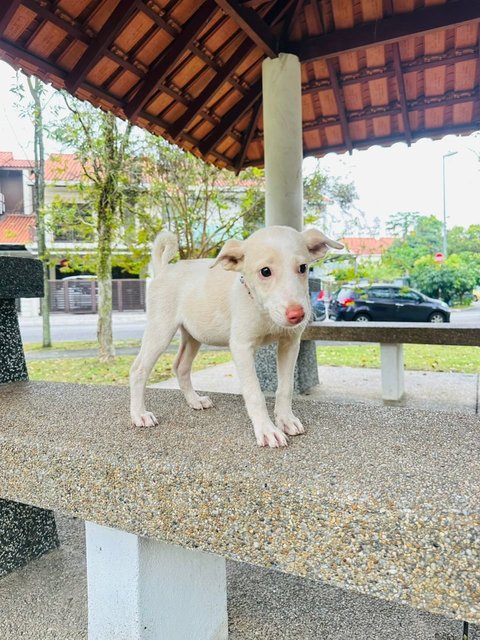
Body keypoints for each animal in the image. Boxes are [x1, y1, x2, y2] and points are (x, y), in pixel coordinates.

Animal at [129, 228, 344, 448]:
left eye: (303, 267)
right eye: (265, 271)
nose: (298, 315)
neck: (261, 309)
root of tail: (163, 269)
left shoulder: (290, 343)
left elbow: (286, 388)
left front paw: (286, 420)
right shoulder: (242, 347)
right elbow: (255, 393)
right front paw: (267, 430)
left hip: (193, 335)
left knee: (181, 366)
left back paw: (195, 400)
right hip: (160, 330)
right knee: (139, 370)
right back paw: (139, 415)